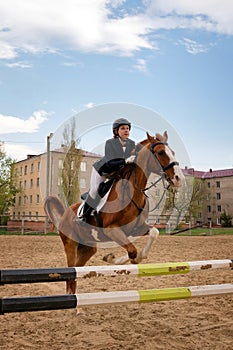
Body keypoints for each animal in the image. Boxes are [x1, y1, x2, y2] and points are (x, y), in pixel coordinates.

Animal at [44, 130, 185, 294]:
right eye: (161, 152)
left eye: (173, 152)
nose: (179, 179)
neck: (132, 191)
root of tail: (66, 213)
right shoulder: (112, 230)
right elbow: (132, 251)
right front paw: (112, 258)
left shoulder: (136, 228)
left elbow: (152, 235)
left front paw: (115, 258)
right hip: (70, 245)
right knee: (70, 271)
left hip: (88, 248)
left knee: (76, 271)